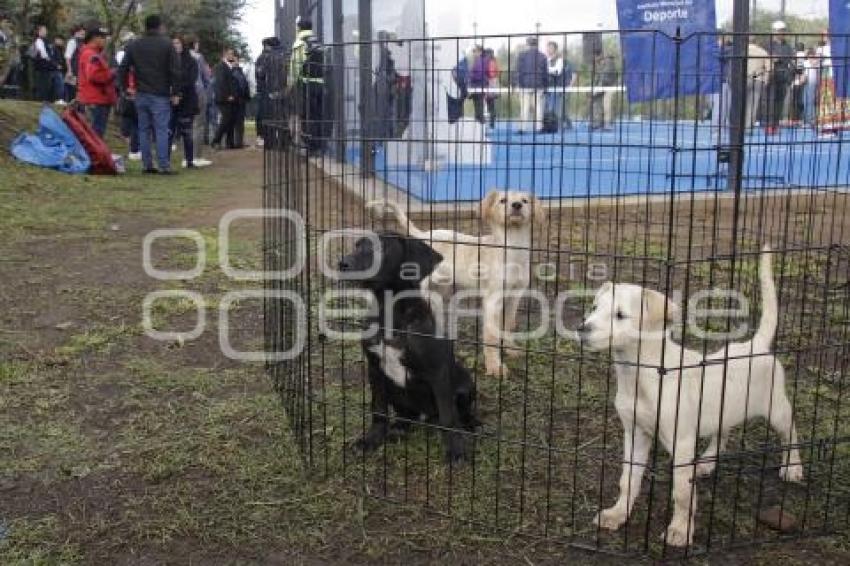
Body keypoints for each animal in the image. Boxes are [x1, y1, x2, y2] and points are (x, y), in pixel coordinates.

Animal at [342, 233, 480, 464]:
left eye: (383, 247)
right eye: (357, 245)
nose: (342, 263)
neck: (390, 314)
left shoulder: (438, 373)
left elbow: (448, 418)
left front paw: (455, 451)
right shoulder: (374, 369)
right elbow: (378, 410)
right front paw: (371, 440)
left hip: (465, 384)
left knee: (460, 412)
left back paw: (472, 424)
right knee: (406, 415)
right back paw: (398, 429)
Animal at [368, 192, 548, 378]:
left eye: (525, 200)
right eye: (503, 200)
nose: (517, 205)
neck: (512, 247)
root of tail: (424, 235)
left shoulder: (514, 296)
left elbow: (508, 325)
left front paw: (510, 348)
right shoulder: (492, 300)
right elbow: (491, 335)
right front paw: (494, 366)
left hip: (438, 294)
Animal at [576, 250, 800, 552]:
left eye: (620, 315)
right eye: (594, 307)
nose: (581, 328)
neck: (640, 374)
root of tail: (757, 345)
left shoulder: (681, 442)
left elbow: (682, 491)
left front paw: (680, 530)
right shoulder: (635, 433)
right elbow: (628, 479)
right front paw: (618, 513)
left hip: (777, 408)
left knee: (791, 432)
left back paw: (793, 467)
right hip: (723, 409)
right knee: (722, 432)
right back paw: (706, 462)